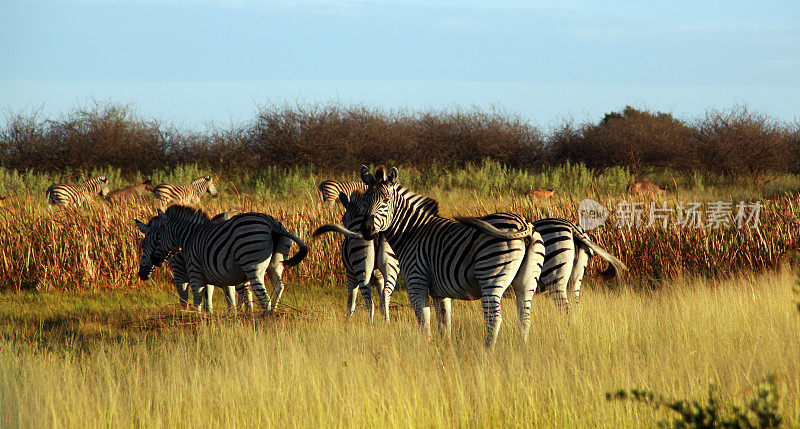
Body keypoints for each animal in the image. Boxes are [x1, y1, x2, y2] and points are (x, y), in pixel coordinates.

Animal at [133, 204, 308, 310]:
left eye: (155, 239)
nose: (142, 273)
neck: (188, 237)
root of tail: (271, 223)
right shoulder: (220, 278)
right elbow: (222, 303)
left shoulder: (190, 275)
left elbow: (193, 302)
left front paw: (195, 322)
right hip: (275, 264)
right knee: (278, 287)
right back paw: (272, 315)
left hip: (252, 265)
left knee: (263, 297)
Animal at [312, 189, 400, 322]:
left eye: (343, 217)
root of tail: (376, 230)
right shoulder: (379, 277)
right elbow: (381, 303)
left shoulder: (350, 274)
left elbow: (350, 302)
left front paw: (347, 322)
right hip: (391, 268)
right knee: (385, 298)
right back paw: (387, 323)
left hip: (361, 269)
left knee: (369, 302)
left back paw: (370, 325)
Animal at [360, 165, 548, 348]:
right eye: (365, 200)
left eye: (385, 200)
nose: (366, 230)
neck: (411, 233)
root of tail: (523, 223)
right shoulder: (440, 292)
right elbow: (444, 324)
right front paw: (445, 349)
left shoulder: (416, 282)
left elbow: (424, 323)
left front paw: (425, 348)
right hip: (526, 283)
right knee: (524, 319)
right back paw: (521, 350)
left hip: (491, 276)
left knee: (494, 319)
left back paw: (488, 351)